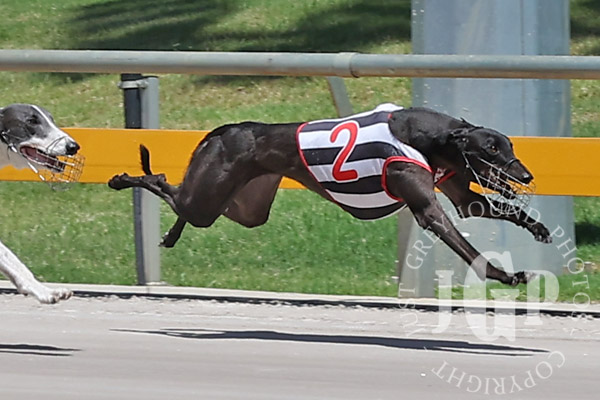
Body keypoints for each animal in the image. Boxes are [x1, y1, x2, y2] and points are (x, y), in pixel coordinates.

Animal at [109, 103, 552, 286]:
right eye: (491, 149)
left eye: (509, 146)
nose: (527, 174)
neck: (429, 136)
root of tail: (225, 131)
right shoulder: (429, 208)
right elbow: (469, 249)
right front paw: (507, 275)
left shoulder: (462, 197)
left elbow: (493, 208)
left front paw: (540, 229)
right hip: (210, 196)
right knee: (161, 181)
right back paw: (122, 180)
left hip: (243, 206)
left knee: (177, 194)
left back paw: (170, 235)